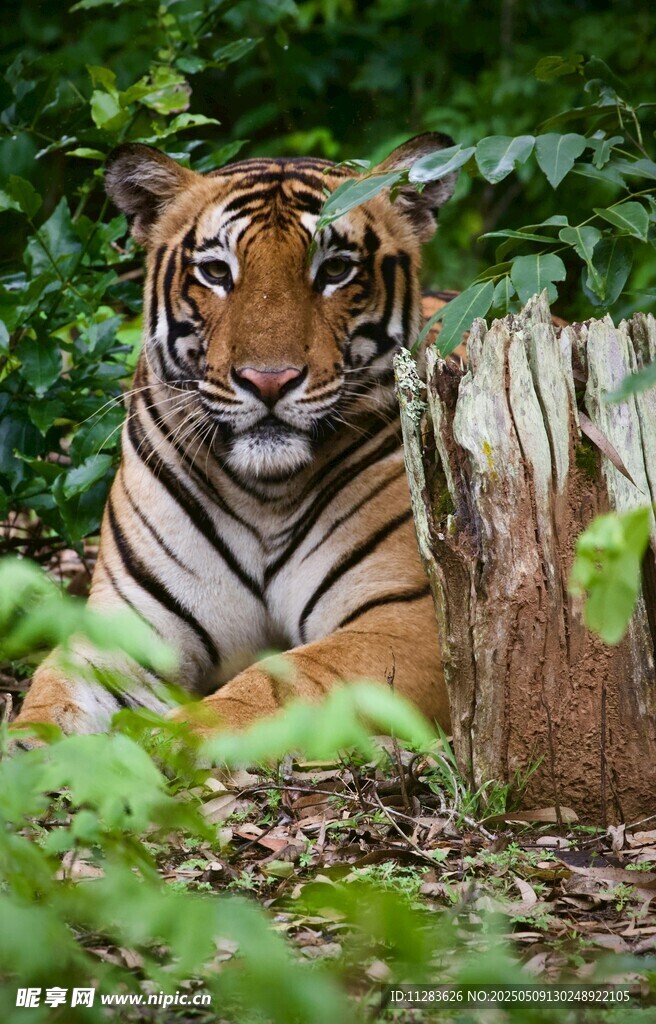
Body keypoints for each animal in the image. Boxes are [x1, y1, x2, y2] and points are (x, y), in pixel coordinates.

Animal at [11, 132, 459, 743]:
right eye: (217, 272)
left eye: (335, 269)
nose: (268, 380)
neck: (265, 491)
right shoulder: (128, 623)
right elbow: (52, 695)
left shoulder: (407, 620)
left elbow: (277, 686)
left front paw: (165, 746)